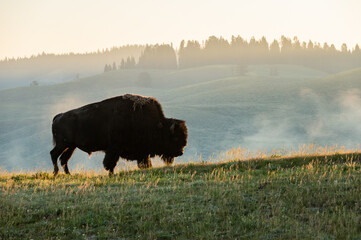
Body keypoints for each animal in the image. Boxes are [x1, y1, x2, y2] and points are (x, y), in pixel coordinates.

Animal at [50, 94, 188, 175]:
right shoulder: (114, 148)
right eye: (175, 137)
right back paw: (56, 173)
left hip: (71, 146)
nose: (180, 152)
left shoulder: (141, 152)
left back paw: (68, 174)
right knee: (54, 154)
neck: (157, 125)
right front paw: (110, 173)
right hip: (63, 144)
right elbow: (110, 162)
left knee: (63, 159)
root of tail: (58, 116)